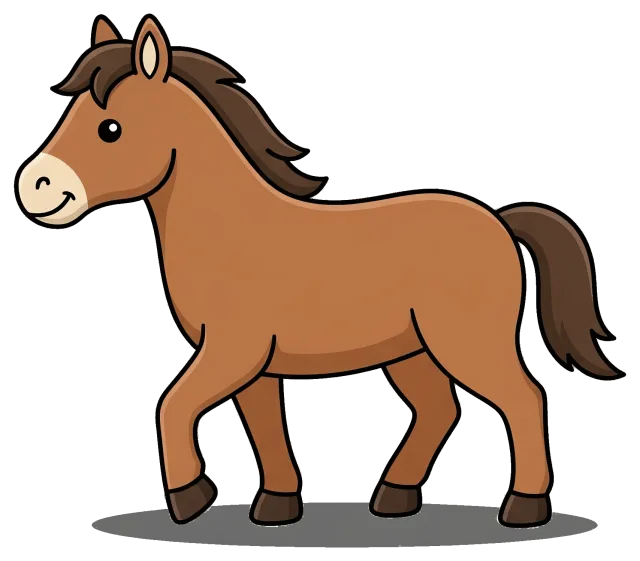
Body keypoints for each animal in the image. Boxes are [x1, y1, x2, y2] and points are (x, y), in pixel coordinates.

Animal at [15, 14, 623, 529]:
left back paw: (523, 508)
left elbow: (173, 404)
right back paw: (394, 497)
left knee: (524, 399)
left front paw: (191, 498)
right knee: (439, 409)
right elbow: (263, 426)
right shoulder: (254, 365)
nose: (34, 187)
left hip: (467, 344)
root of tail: (498, 219)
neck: (228, 229)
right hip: (411, 352)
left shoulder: (232, 350)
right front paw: (277, 506)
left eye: (111, 128)